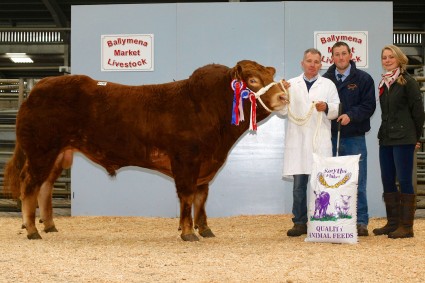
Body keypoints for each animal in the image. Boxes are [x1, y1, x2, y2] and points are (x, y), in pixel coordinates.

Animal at [3, 60, 286, 242]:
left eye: (272, 78)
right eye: (252, 80)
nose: (284, 97)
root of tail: (39, 87)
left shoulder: (205, 165)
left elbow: (201, 197)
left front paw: (204, 228)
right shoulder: (186, 160)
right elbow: (187, 196)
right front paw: (188, 232)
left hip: (57, 154)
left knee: (45, 186)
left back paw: (49, 225)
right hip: (41, 150)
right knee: (30, 184)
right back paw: (32, 230)